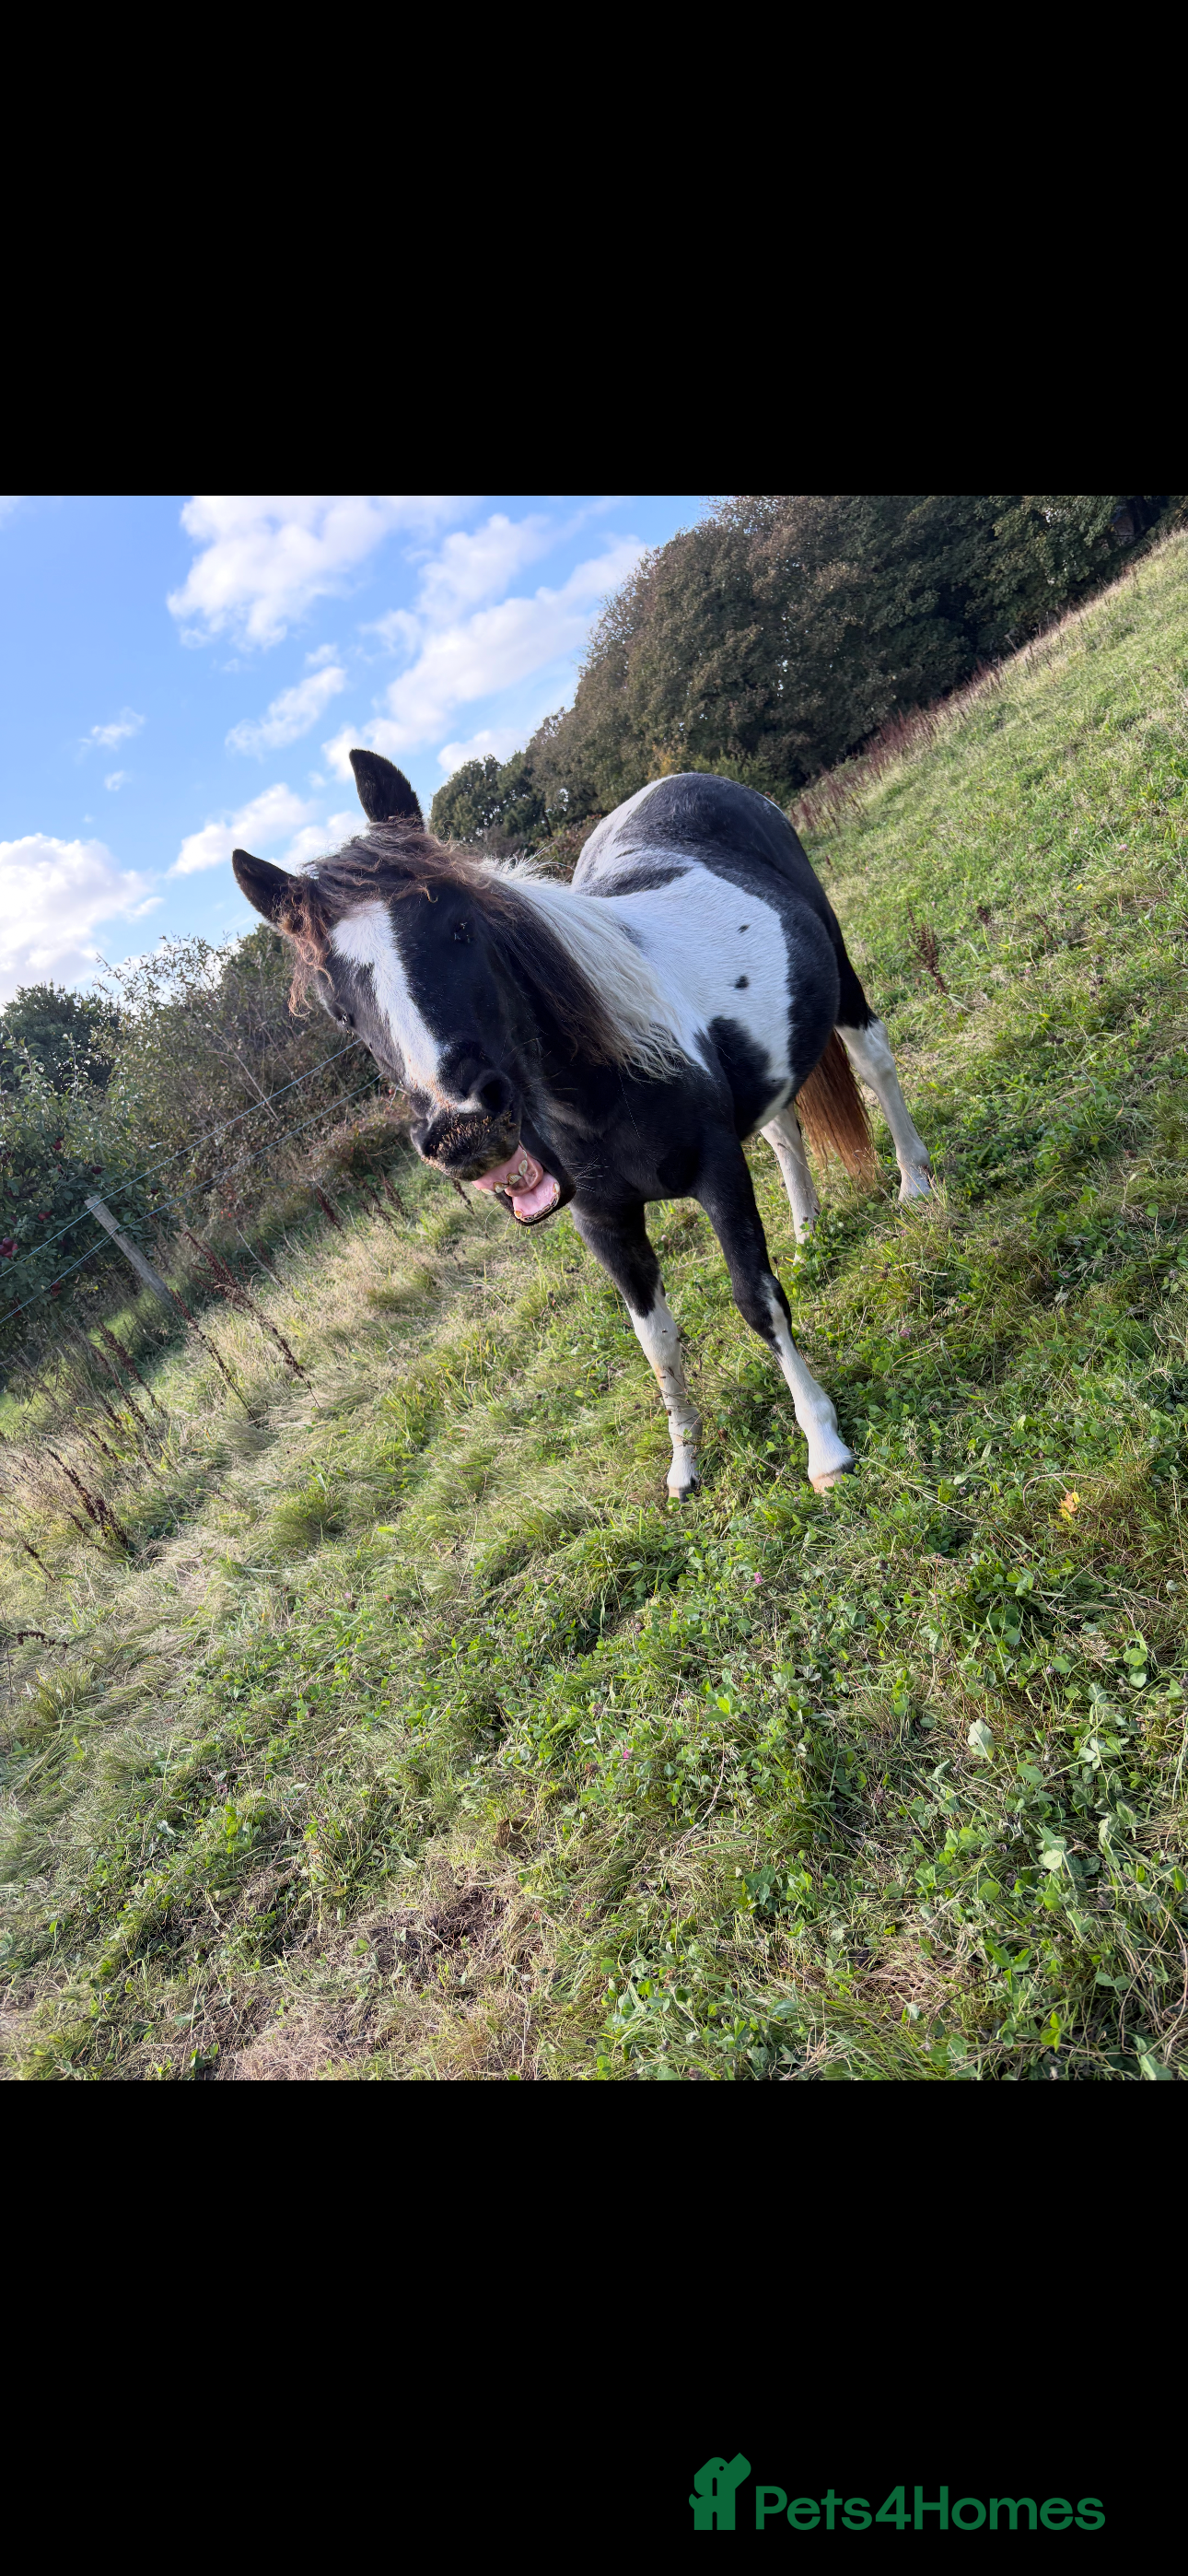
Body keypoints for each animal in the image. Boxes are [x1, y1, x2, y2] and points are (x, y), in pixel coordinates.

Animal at [233, 750, 931, 1497]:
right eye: (339, 1010)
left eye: (460, 927)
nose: (464, 1130)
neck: (602, 1087)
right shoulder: (603, 1224)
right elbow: (656, 1341)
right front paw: (685, 1463)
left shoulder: (719, 1174)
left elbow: (756, 1299)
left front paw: (823, 1446)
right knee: (782, 1131)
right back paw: (807, 1235)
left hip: (841, 976)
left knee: (874, 1062)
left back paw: (915, 1186)